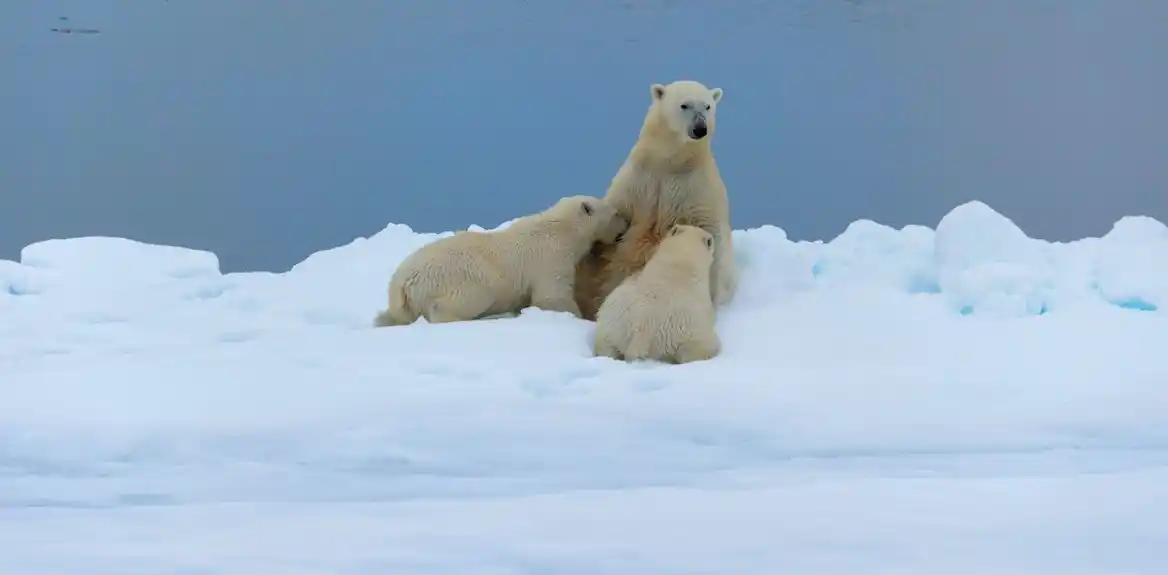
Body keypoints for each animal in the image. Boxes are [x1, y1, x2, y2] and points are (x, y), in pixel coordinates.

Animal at [574, 78, 738, 320]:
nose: (700, 129)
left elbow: (710, 229)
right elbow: (618, 214)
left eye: (708, 106)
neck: (671, 162)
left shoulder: (696, 186)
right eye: (685, 105)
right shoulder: (639, 180)